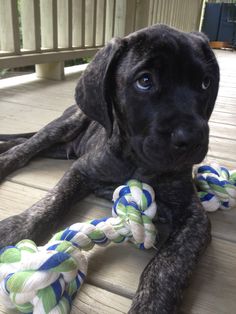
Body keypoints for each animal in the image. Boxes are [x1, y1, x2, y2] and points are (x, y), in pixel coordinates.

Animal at [0, 25, 219, 312]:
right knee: (26, 148)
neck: (136, 161)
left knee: (24, 143)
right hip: (65, 125)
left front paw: (151, 303)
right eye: (145, 81)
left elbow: (169, 264)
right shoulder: (82, 170)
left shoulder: (194, 215)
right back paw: (4, 160)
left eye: (205, 83)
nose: (192, 138)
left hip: (62, 148)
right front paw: (17, 226)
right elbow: (54, 199)